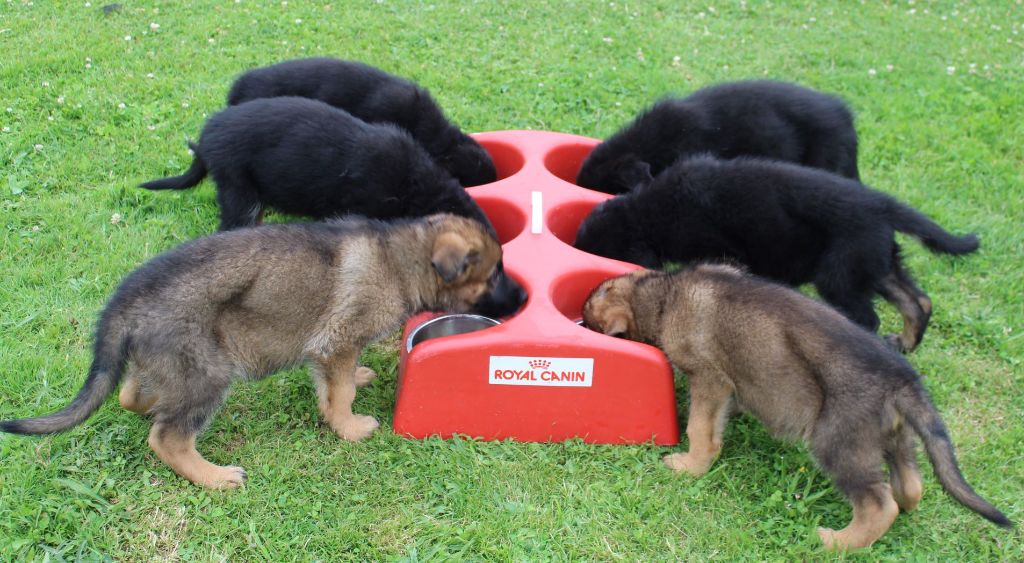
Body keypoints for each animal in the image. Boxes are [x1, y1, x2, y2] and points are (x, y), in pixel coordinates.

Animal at [2, 214, 520, 489]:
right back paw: (213, 477)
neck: (401, 260)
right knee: (166, 437)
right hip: (208, 373)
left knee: (133, 394)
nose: (523, 299)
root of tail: (122, 303)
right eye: (494, 274)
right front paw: (349, 428)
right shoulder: (337, 341)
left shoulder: (330, 350)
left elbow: (338, 383)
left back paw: (149, 400)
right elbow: (340, 395)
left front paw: (355, 384)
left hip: (172, 363)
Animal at [573, 156, 978, 352]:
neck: (651, 209)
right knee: (918, 301)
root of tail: (881, 205)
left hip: (840, 273)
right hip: (876, 262)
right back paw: (906, 344)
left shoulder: (721, 249)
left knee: (870, 317)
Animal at [581, 268, 1011, 552]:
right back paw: (904, 507)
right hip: (894, 438)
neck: (664, 293)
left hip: (836, 443)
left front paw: (690, 466)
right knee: (910, 484)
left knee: (878, 503)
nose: (579, 325)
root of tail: (902, 381)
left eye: (588, 319)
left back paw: (838, 542)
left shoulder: (710, 378)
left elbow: (700, 429)